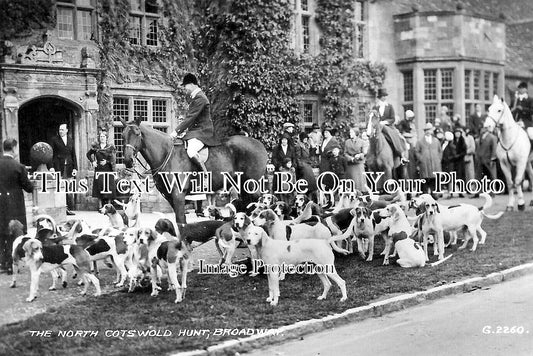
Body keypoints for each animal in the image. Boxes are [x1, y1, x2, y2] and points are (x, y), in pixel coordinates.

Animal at [117, 117, 264, 222]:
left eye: (137, 133)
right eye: (122, 135)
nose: (128, 160)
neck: (166, 154)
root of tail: (258, 144)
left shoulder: (178, 195)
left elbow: (181, 222)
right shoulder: (170, 197)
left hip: (253, 186)